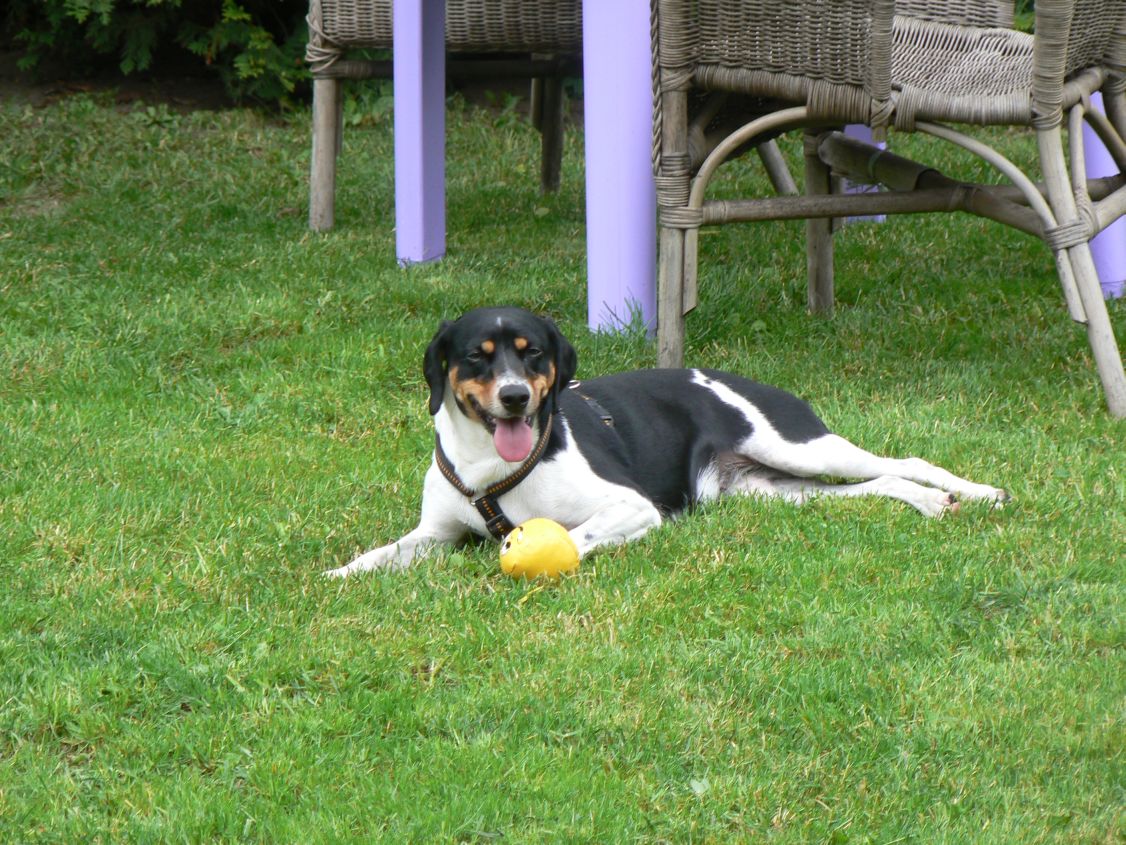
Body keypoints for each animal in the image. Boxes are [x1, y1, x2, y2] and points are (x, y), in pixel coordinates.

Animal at [324, 308, 1004, 581]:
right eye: (476, 357)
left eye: (532, 353)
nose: (516, 397)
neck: (491, 469)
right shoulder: (433, 534)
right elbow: (380, 555)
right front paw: (337, 575)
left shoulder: (632, 506)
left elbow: (573, 536)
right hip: (772, 490)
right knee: (878, 483)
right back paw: (929, 504)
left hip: (802, 446)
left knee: (903, 460)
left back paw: (975, 492)